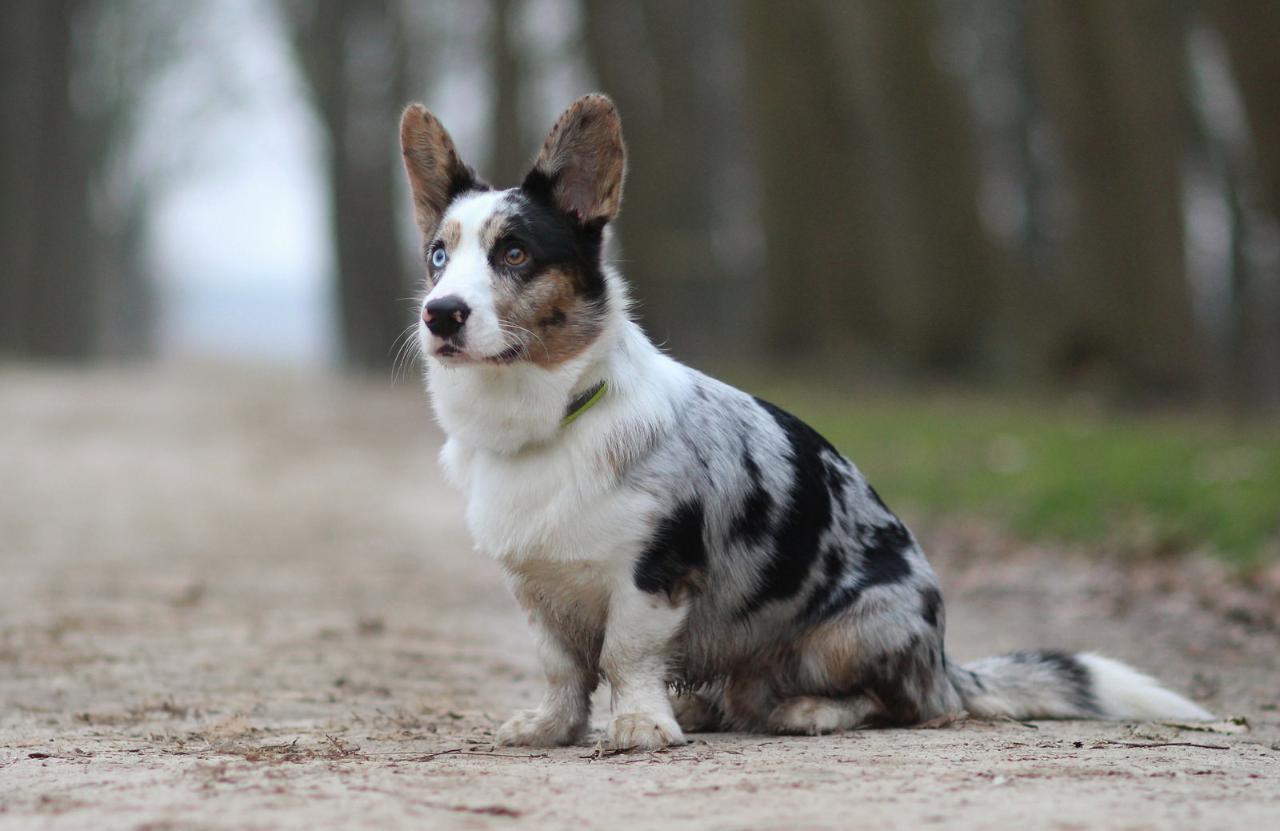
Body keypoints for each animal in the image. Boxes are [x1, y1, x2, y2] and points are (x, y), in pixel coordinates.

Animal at [396, 94, 1208, 747]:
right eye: (438, 256)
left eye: (515, 252)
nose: (441, 314)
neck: (552, 418)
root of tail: (945, 662)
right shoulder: (537, 592)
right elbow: (562, 669)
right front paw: (550, 729)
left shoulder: (652, 577)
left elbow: (626, 658)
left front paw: (641, 727)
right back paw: (708, 708)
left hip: (850, 635)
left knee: (904, 706)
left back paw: (809, 710)